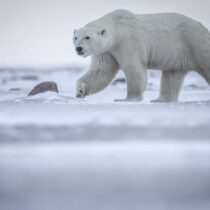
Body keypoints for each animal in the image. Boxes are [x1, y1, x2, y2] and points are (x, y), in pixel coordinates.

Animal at [73, 9, 210, 101]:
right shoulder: (106, 51)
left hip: (195, 42)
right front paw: (80, 91)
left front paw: (128, 99)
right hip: (178, 54)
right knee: (172, 75)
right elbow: (100, 71)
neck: (117, 29)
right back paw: (160, 100)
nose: (79, 48)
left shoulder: (128, 42)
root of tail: (204, 28)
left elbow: (133, 68)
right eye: (75, 37)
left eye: (87, 37)